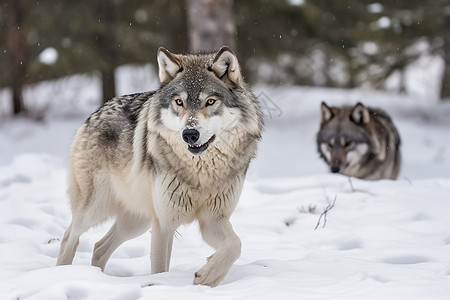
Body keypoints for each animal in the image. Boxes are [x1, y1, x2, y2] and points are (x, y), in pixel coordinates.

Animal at [55, 45, 264, 288]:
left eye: (210, 102)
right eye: (179, 102)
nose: (189, 134)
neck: (201, 173)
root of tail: (93, 114)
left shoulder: (212, 220)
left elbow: (235, 244)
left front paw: (208, 276)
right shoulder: (164, 223)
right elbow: (160, 269)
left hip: (137, 221)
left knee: (99, 247)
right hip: (96, 210)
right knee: (69, 236)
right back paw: (61, 274)